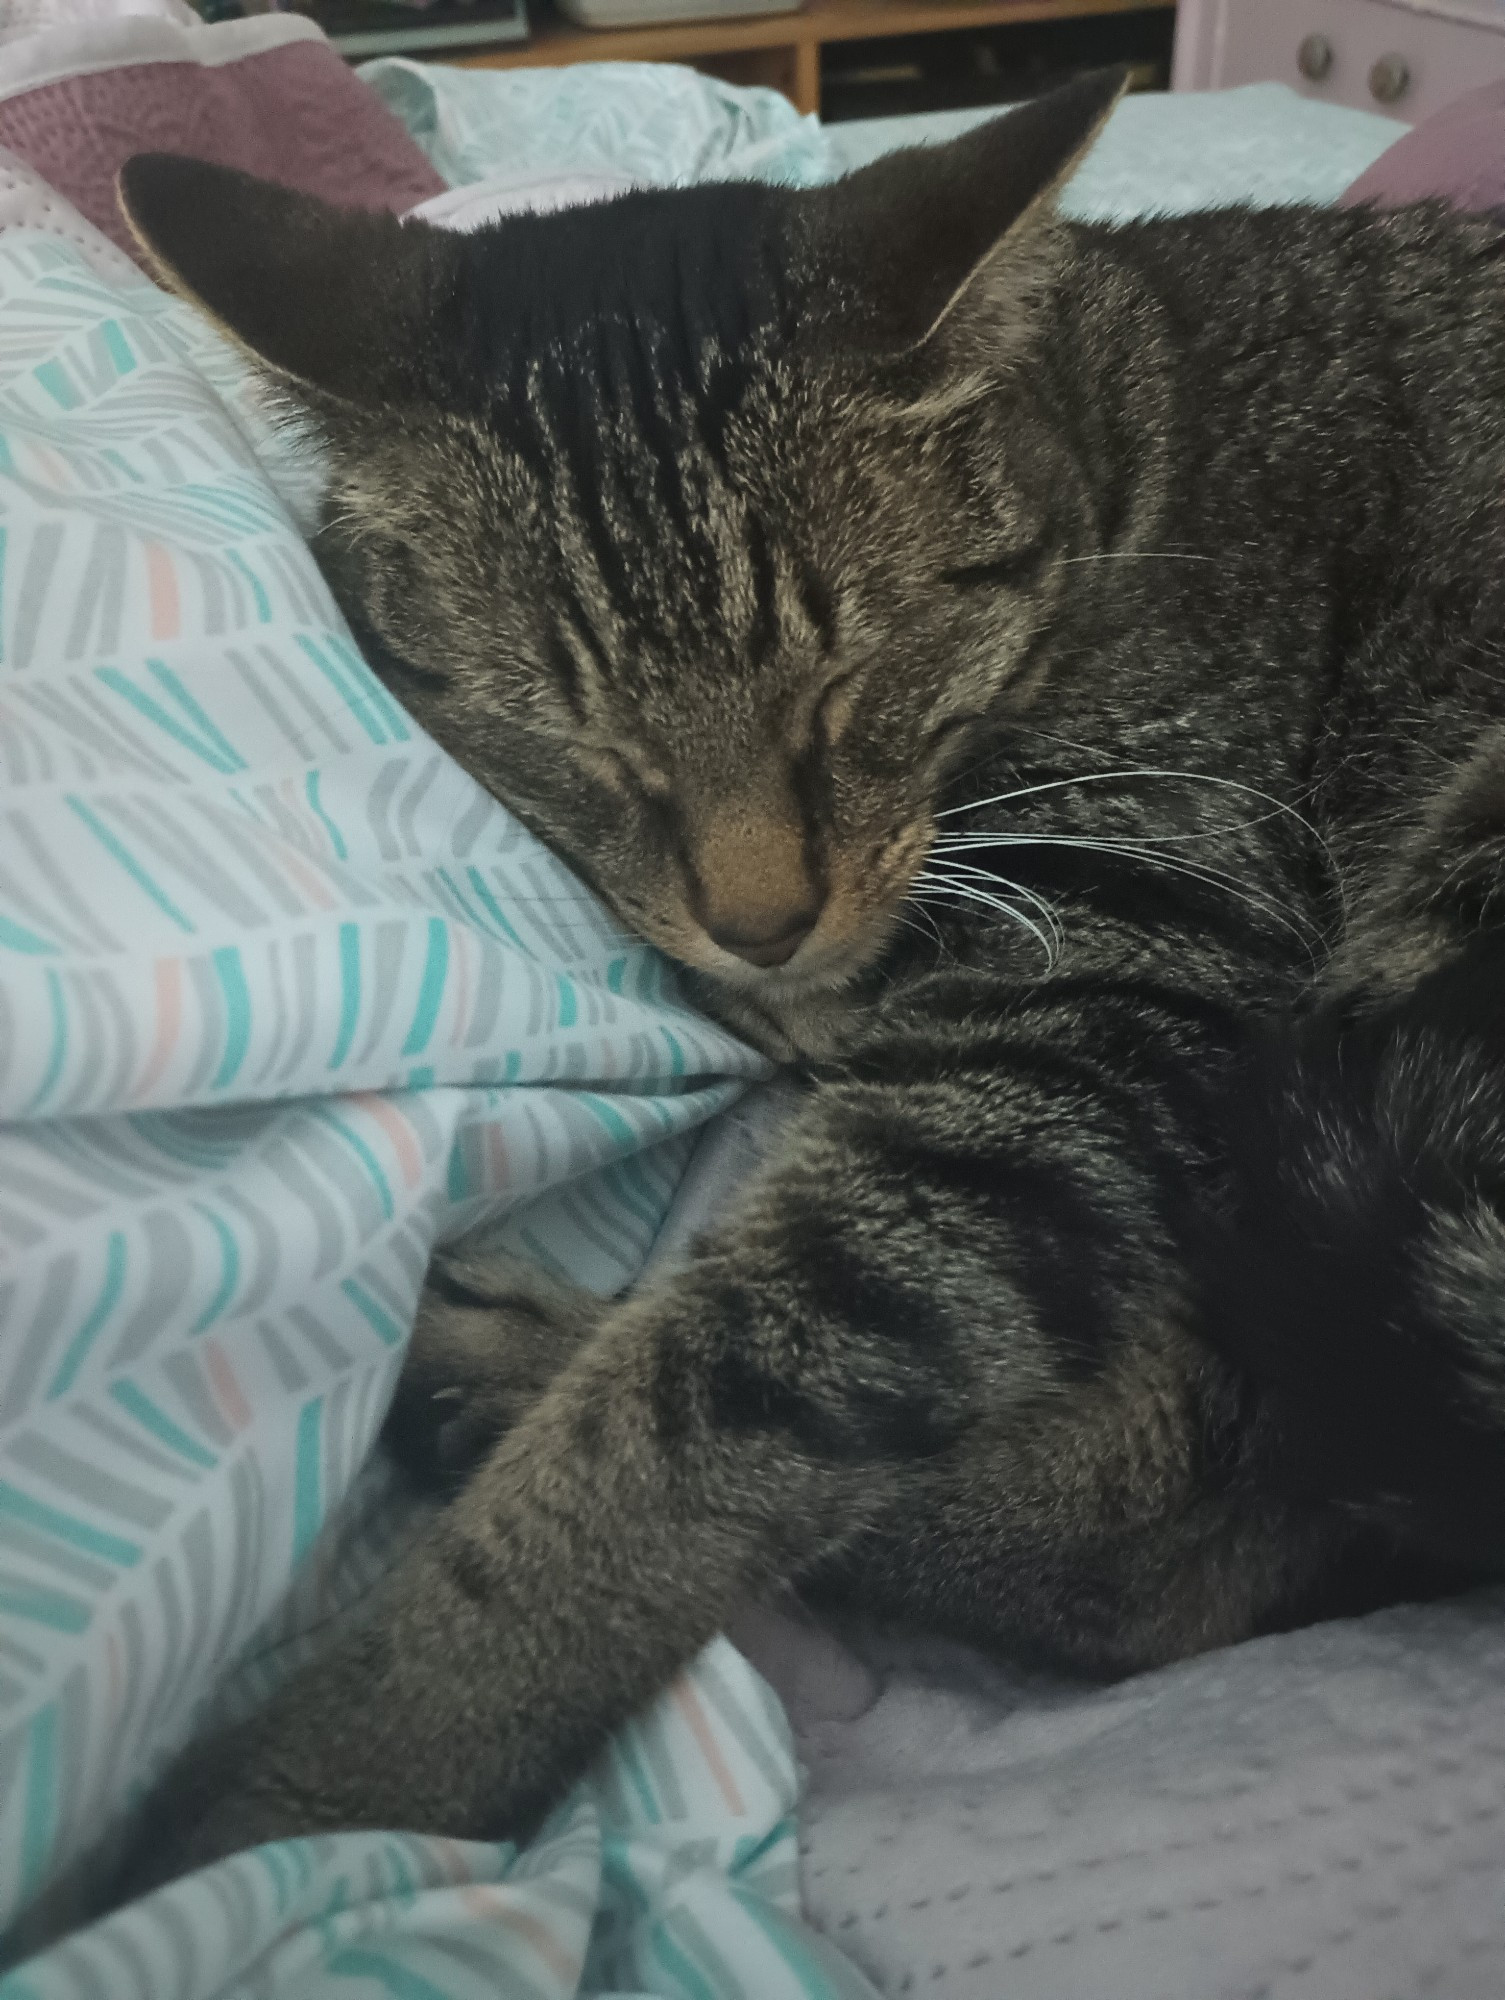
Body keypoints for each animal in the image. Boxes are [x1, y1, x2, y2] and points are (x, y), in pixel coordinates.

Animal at [120, 70, 1505, 1872]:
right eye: (584, 744)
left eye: (845, 693)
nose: (760, 919)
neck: (1124, 441)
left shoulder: (1104, 966)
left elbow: (711, 1420)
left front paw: (333, 1785)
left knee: (1180, 1535)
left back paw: (492, 1376)